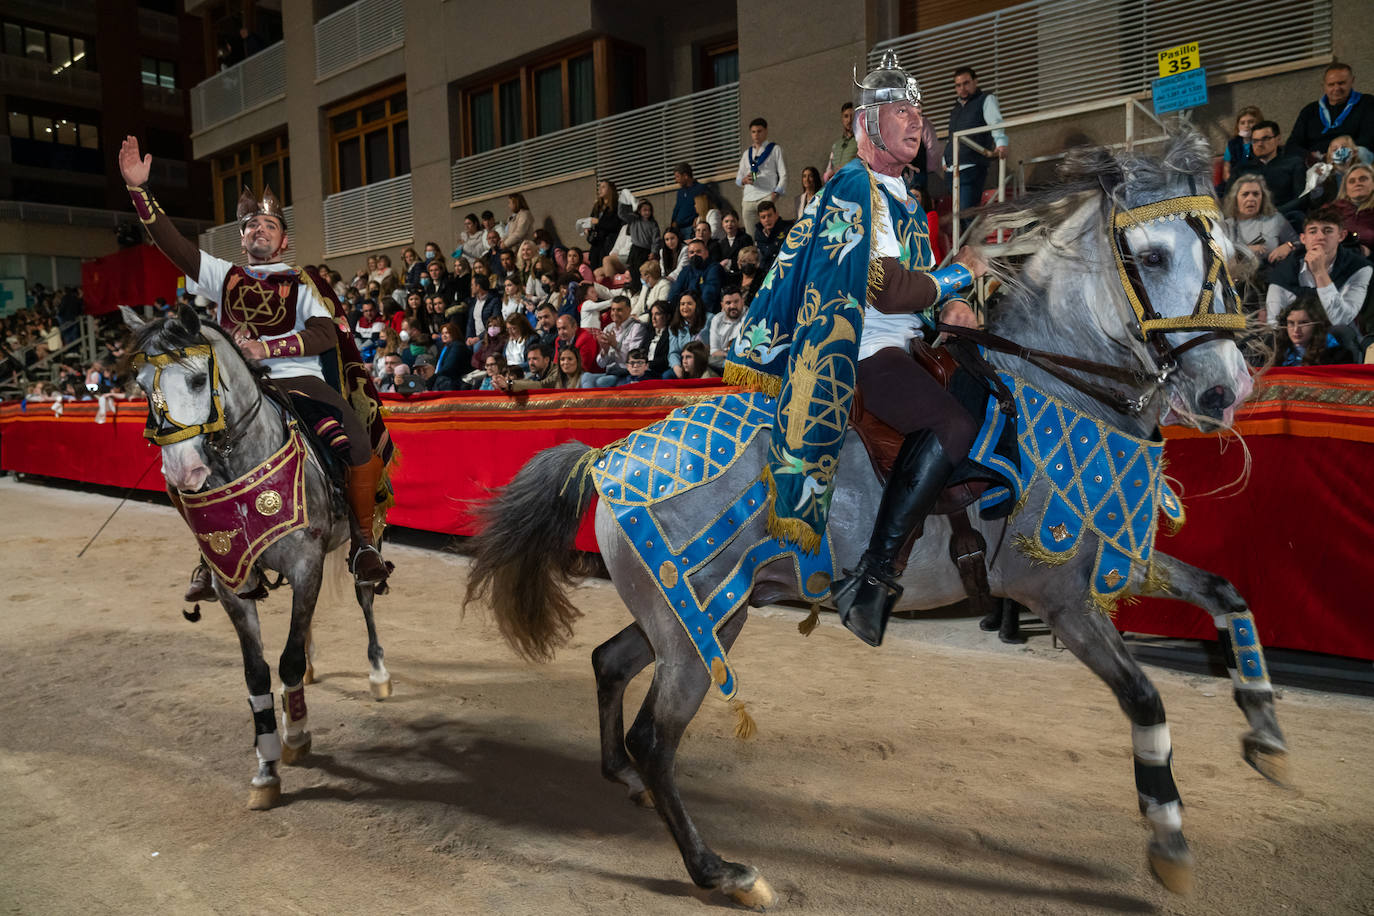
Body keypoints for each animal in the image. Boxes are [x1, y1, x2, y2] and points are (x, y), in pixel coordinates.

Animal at [123, 307, 392, 807]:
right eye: (141, 382)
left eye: (196, 380)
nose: (182, 472)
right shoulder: (233, 582)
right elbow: (257, 673)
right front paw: (266, 769)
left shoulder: (305, 564)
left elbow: (285, 661)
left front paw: (296, 735)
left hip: (367, 538)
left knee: (365, 596)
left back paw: (378, 672)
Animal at [469, 134, 1286, 911]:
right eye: (1151, 256)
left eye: (1226, 254)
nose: (1224, 390)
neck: (1059, 388)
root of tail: (608, 460)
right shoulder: (1056, 594)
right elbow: (1145, 698)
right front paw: (1168, 837)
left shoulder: (1112, 559)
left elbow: (1229, 594)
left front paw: (1266, 732)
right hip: (696, 621)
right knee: (655, 738)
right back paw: (723, 872)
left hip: (698, 615)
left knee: (611, 666)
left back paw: (626, 783)